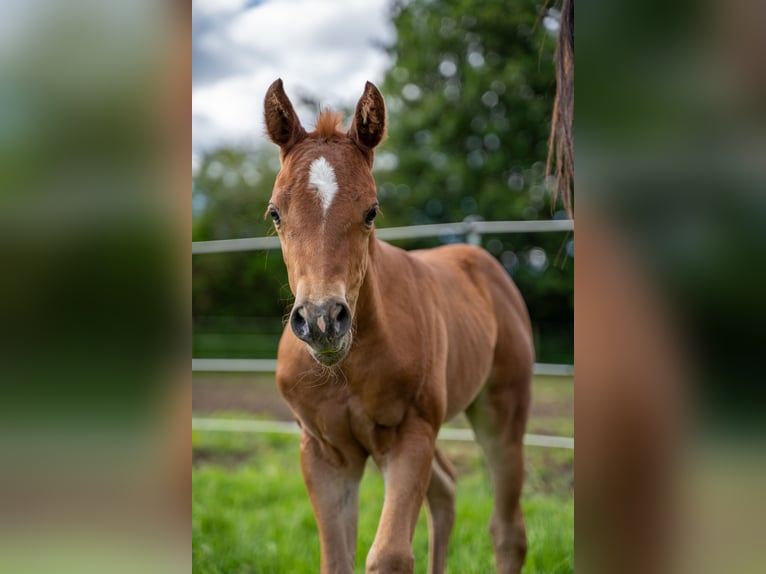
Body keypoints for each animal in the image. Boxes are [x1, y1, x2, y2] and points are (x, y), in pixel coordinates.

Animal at [264, 79, 534, 574]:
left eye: (372, 211)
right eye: (275, 213)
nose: (322, 320)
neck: (346, 366)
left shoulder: (412, 434)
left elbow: (389, 556)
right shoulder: (325, 453)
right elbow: (338, 561)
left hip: (502, 412)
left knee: (508, 532)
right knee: (446, 488)